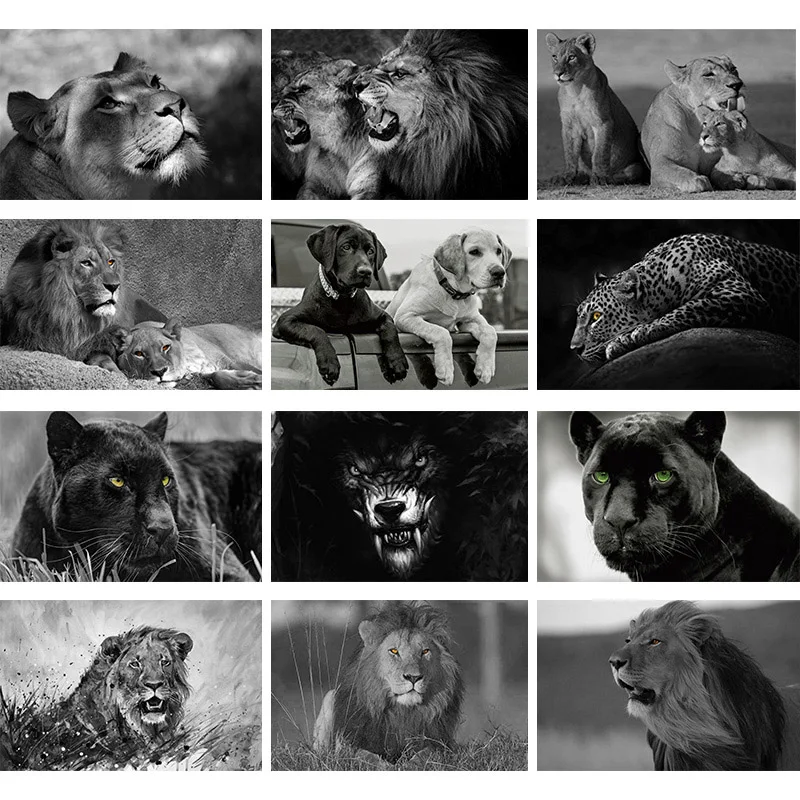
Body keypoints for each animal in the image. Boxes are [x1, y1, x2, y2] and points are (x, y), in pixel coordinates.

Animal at [313, 601, 464, 762]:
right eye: (394, 651)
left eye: (425, 651)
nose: (413, 677)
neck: (402, 712)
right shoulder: (349, 745)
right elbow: (366, 756)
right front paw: (385, 765)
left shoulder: (441, 744)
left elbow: (426, 753)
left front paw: (410, 764)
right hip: (330, 697)